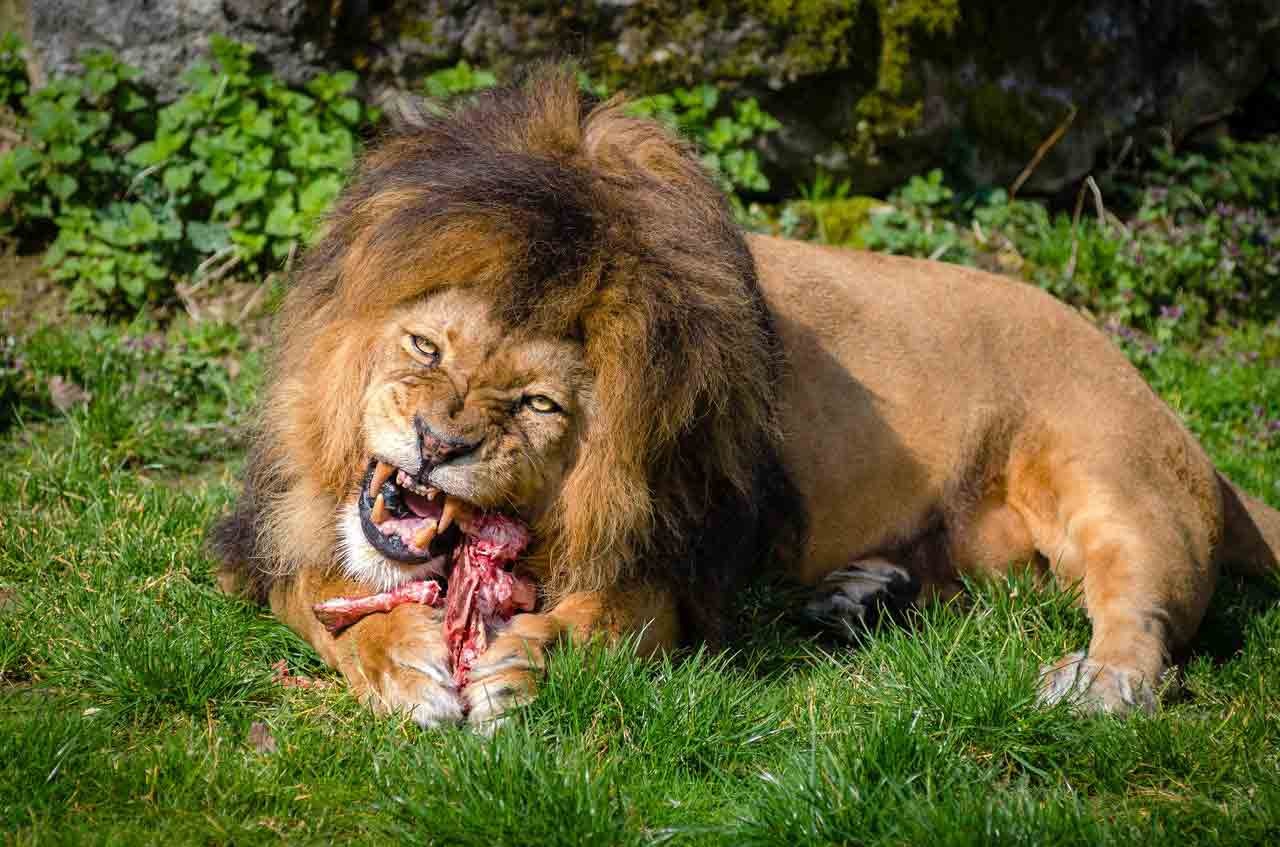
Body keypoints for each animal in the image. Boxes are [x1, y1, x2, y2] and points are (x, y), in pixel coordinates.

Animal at [209, 68, 1280, 731]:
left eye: (540, 406)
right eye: (425, 346)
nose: (436, 443)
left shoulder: (676, 564)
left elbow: (602, 618)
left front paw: (524, 662)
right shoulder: (269, 534)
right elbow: (325, 600)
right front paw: (404, 665)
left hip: (1112, 478)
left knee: (1145, 613)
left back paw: (1096, 682)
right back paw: (857, 595)